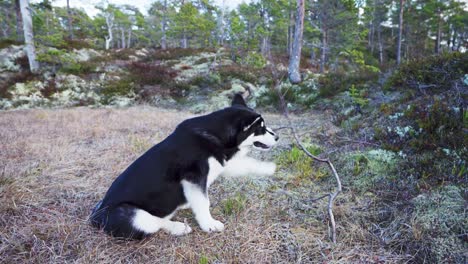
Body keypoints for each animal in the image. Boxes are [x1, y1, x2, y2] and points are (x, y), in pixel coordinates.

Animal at [90, 94, 278, 239]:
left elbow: (248, 164)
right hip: (132, 215)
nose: (277, 137)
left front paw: (269, 168)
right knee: (155, 221)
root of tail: (95, 217)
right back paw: (178, 227)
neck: (216, 135)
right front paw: (209, 224)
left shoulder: (219, 164)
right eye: (261, 129)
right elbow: (203, 202)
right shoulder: (194, 177)